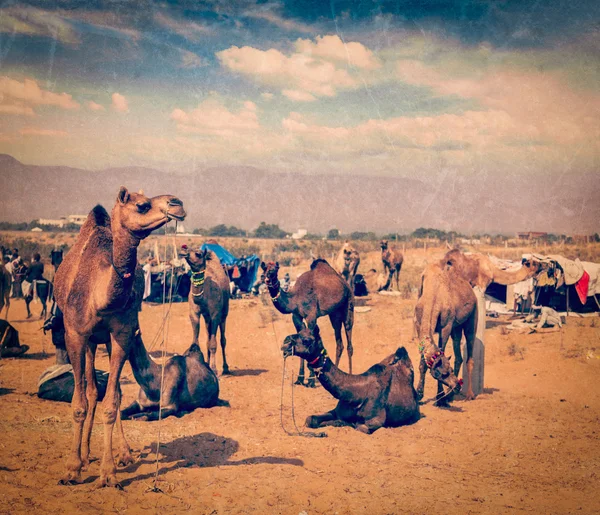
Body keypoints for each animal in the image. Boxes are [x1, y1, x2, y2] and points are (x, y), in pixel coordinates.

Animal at [53, 187, 185, 490]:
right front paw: (72, 469)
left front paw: (109, 473)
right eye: (142, 205)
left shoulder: (123, 334)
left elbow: (113, 401)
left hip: (105, 338)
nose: (178, 204)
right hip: (90, 340)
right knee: (90, 390)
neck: (101, 296)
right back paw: (85, 454)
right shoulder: (74, 334)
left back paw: (122, 453)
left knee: (110, 392)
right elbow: (78, 402)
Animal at [260, 258, 354, 388]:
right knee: (339, 340)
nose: (266, 279)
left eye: (274, 270)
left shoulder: (311, 316)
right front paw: (299, 379)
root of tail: (345, 283)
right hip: (334, 312)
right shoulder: (296, 316)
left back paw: (349, 375)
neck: (295, 297)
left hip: (348, 304)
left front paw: (310, 380)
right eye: (264, 268)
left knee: (349, 338)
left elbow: (311, 338)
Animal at [280, 326, 418, 436]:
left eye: (307, 340)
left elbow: (359, 426)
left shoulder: (375, 421)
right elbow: (310, 419)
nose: (285, 343)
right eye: (298, 332)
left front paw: (340, 423)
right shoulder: (337, 411)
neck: (357, 394)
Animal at [414, 264, 476, 406]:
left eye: (450, 370)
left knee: (470, 350)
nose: (457, 386)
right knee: (458, 355)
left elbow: (441, 348)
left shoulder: (446, 326)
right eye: (442, 374)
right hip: (456, 328)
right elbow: (422, 363)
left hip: (472, 318)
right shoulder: (418, 324)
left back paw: (469, 395)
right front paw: (419, 395)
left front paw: (440, 397)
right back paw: (450, 396)